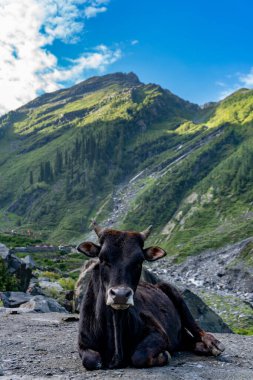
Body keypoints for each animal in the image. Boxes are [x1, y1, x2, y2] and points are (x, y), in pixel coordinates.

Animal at [76, 221, 224, 370]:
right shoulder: (83, 342)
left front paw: (165, 355)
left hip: (176, 295)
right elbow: (91, 360)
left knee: (197, 329)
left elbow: (139, 356)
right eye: (102, 258)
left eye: (139, 261)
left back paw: (213, 345)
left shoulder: (159, 333)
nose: (120, 295)